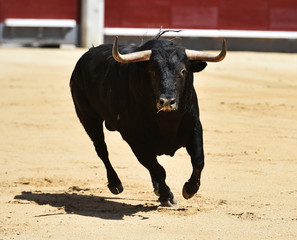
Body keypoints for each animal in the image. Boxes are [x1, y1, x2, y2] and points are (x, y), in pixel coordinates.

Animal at [69, 32, 225, 206]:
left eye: (183, 71)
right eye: (153, 72)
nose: (167, 101)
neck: (167, 121)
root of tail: (86, 56)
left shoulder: (194, 126)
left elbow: (198, 160)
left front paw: (189, 189)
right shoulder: (135, 139)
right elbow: (158, 169)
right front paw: (167, 196)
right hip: (88, 118)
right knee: (102, 149)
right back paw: (115, 184)